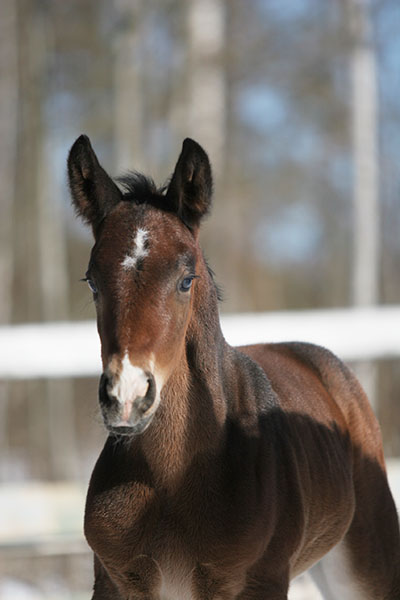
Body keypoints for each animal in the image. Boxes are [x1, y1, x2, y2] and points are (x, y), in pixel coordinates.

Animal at [69, 136, 400, 600]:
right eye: (93, 281)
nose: (127, 397)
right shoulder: (117, 580)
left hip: (369, 563)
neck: (172, 479)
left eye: (185, 280)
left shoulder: (258, 580)